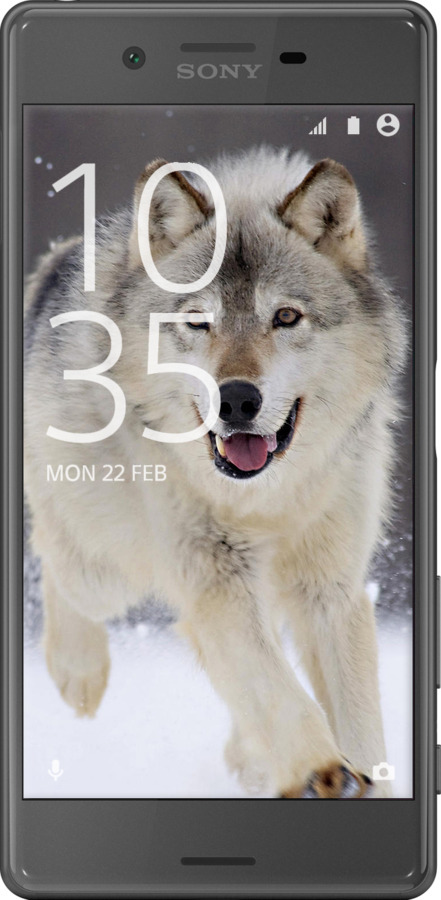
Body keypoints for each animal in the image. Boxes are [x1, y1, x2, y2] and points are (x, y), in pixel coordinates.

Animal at [24, 146, 405, 798]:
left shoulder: (330, 588)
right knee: (52, 553)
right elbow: (278, 691)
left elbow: (354, 718)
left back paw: (248, 758)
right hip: (106, 569)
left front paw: (356, 779)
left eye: (285, 316)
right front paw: (320, 771)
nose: (238, 400)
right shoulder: (215, 576)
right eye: (199, 322)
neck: (266, 498)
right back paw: (79, 673)